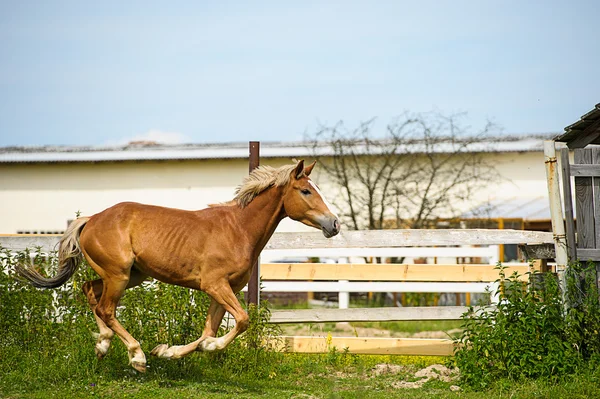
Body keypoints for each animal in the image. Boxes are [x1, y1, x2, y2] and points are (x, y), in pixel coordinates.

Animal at [16, 161, 340, 374]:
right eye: (306, 191)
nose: (334, 224)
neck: (239, 230)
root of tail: (91, 219)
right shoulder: (214, 285)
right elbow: (243, 320)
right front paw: (170, 351)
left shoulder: (224, 290)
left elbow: (209, 331)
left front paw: (168, 351)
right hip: (118, 275)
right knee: (106, 308)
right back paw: (137, 357)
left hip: (130, 275)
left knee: (89, 292)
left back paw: (103, 345)